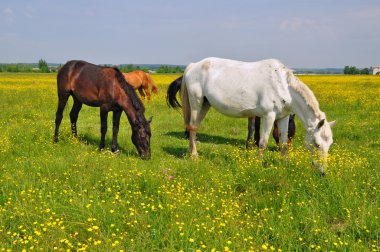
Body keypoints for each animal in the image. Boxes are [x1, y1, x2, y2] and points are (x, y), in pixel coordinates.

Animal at [168, 76, 298, 149]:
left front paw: (255, 142)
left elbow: (256, 126)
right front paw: (251, 144)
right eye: (289, 132)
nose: (288, 148)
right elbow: (253, 127)